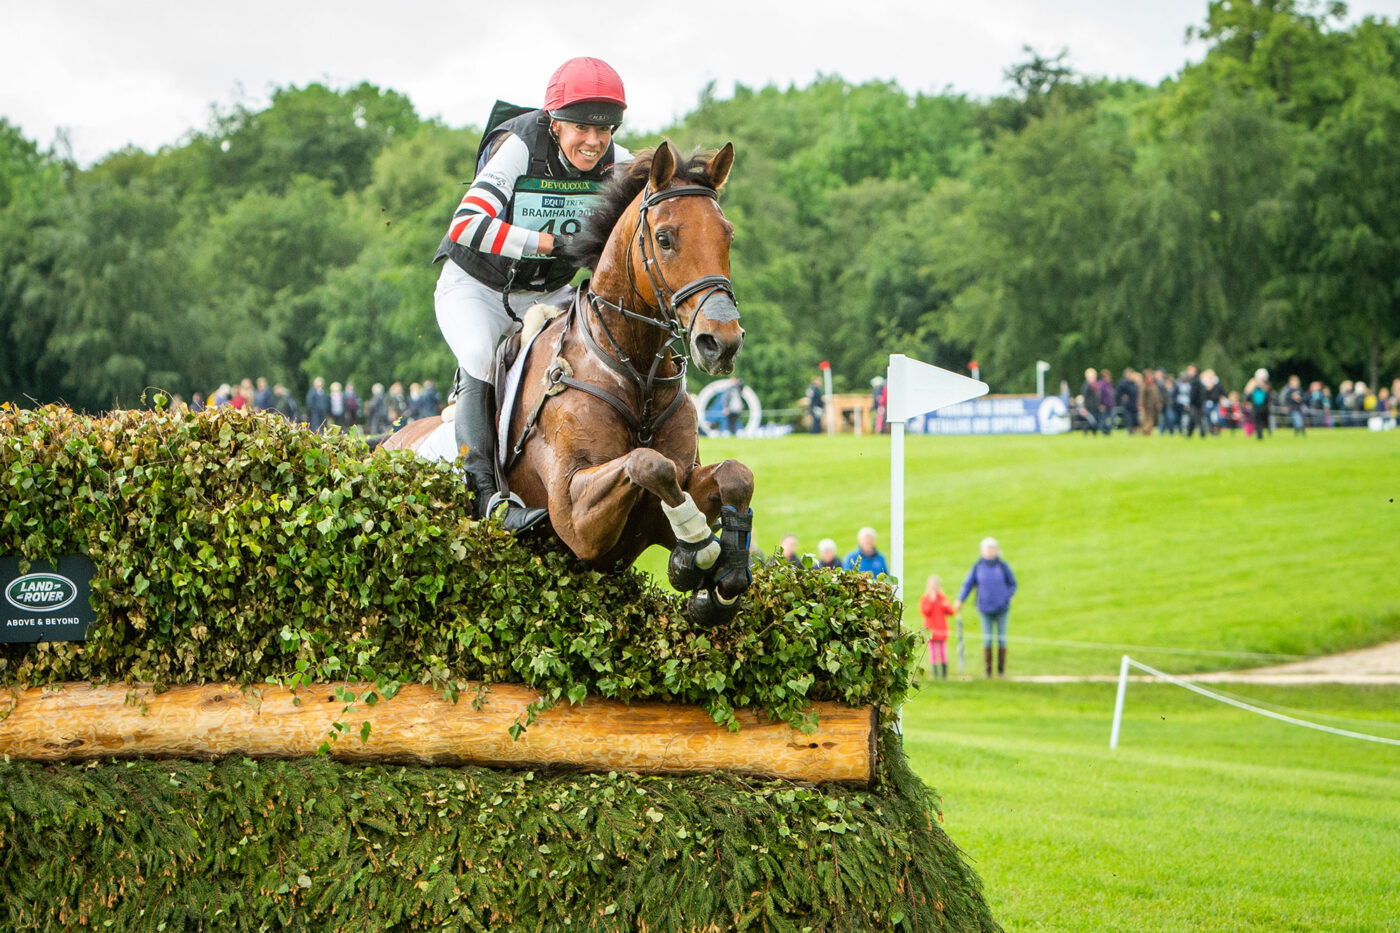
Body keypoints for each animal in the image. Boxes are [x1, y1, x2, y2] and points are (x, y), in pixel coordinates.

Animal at [380, 141, 756, 622]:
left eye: (728, 235)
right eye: (665, 238)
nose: (721, 342)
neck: (634, 376)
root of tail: (390, 444)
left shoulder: (657, 511)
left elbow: (734, 475)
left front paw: (722, 580)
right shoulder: (576, 519)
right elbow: (648, 463)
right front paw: (696, 547)